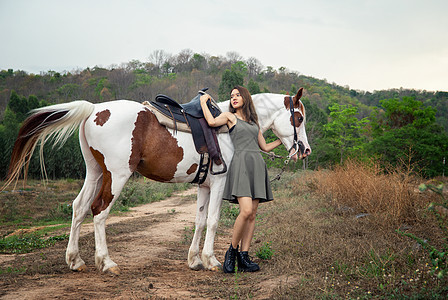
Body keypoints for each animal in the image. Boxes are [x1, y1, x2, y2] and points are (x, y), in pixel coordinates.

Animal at [4, 87, 312, 274]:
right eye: (298, 118)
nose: (305, 150)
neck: (227, 126)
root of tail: (94, 109)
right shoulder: (219, 184)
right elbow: (213, 221)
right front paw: (212, 261)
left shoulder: (204, 186)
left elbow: (200, 221)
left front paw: (194, 260)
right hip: (117, 175)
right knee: (99, 212)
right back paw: (106, 262)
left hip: (95, 172)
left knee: (79, 209)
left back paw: (75, 260)